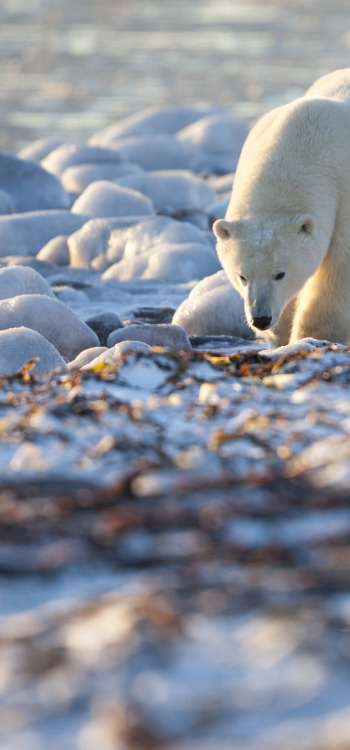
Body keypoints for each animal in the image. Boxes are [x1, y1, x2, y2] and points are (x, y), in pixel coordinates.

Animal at [213, 67, 350, 346]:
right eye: (242, 276)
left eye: (280, 274)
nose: (261, 319)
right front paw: (281, 333)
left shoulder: (344, 194)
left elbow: (337, 272)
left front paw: (311, 335)